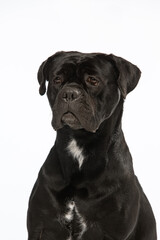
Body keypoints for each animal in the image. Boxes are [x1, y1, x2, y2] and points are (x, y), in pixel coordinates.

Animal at [26, 51, 157, 239]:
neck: (81, 142)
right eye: (57, 79)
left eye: (93, 80)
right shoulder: (40, 227)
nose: (70, 93)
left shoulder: (112, 231)